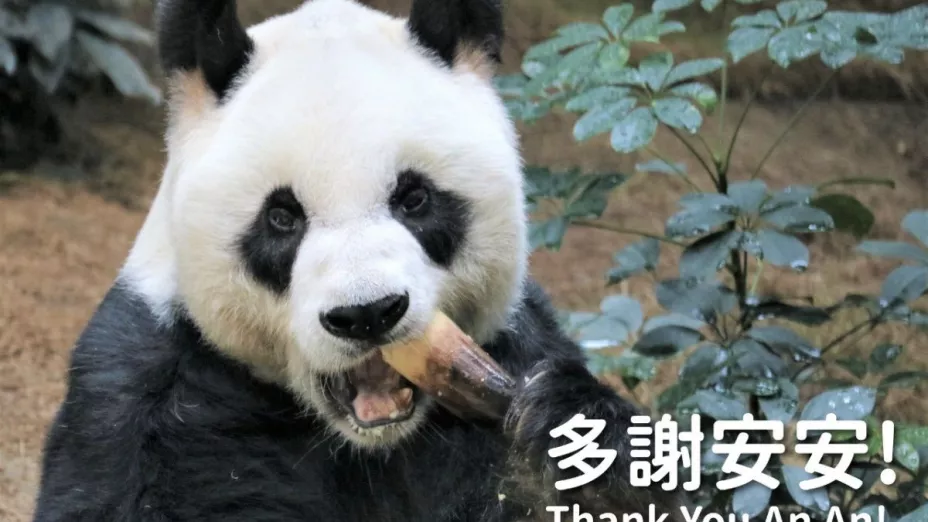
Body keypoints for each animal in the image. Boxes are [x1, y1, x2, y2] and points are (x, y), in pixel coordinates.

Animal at [32, 0, 689, 520]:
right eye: (281, 217)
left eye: (415, 198)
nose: (367, 314)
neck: (365, 442)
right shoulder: (145, 397)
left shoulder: (514, 345)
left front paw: (579, 438)